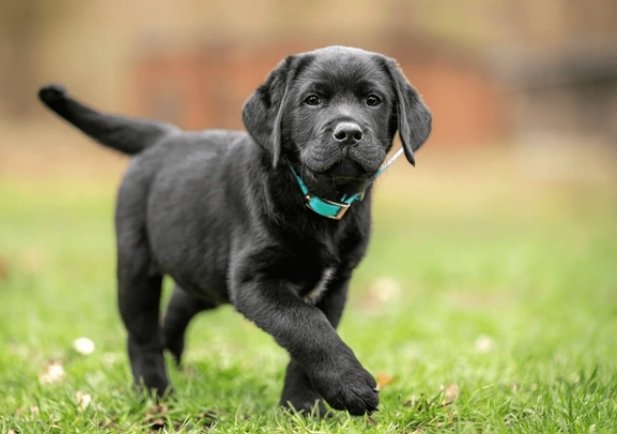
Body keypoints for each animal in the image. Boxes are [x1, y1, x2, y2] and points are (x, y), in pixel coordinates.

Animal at [38, 45, 430, 416]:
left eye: (373, 100)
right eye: (312, 100)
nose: (348, 132)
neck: (315, 197)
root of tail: (165, 138)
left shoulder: (335, 286)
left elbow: (309, 343)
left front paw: (301, 408)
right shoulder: (254, 280)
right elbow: (308, 327)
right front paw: (351, 387)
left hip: (204, 273)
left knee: (178, 307)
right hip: (136, 265)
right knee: (142, 335)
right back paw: (155, 390)